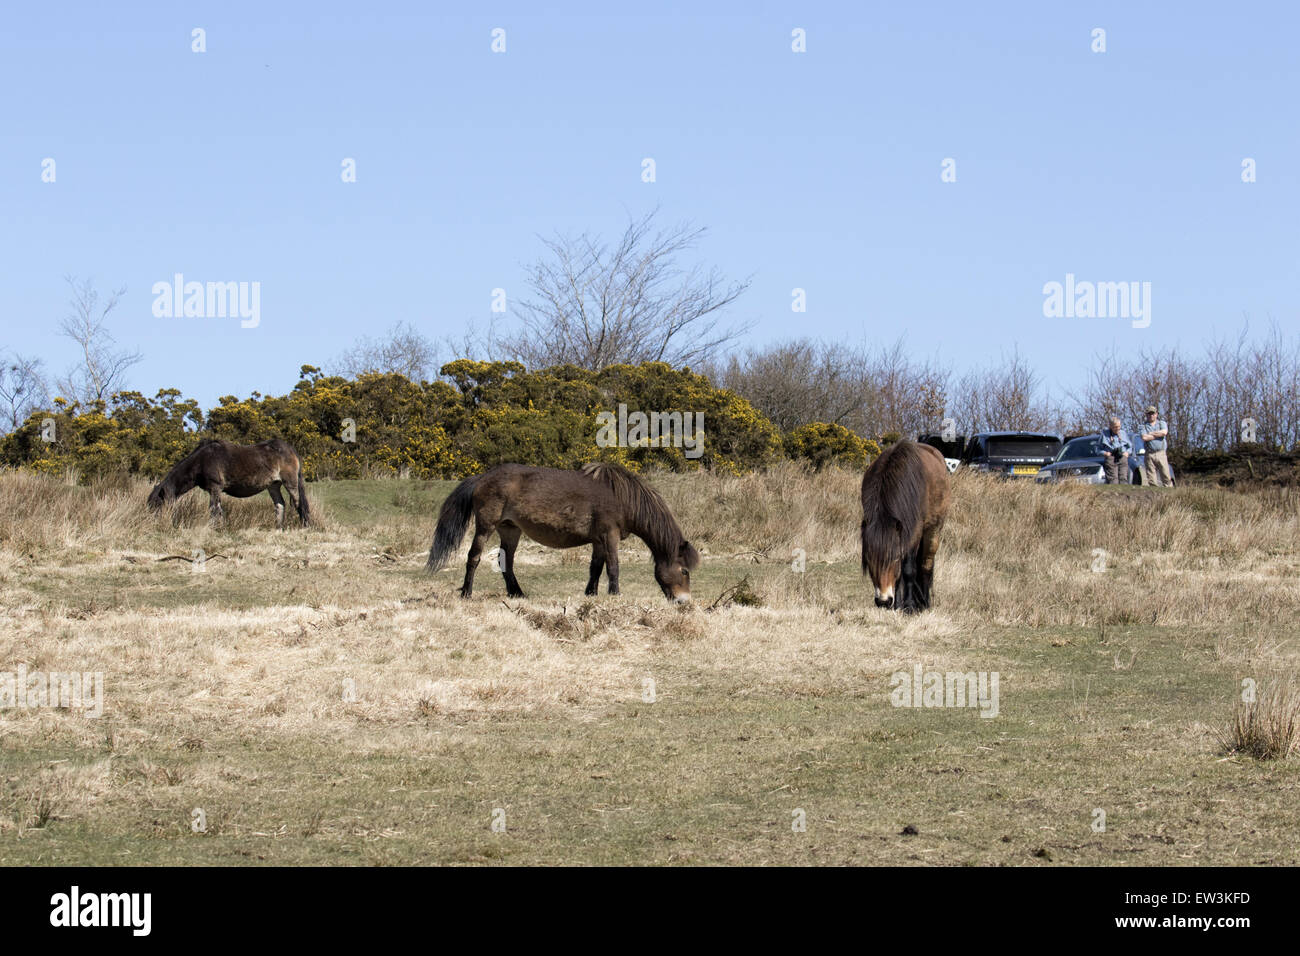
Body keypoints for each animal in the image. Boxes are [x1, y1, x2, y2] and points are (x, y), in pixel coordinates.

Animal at [146, 437, 309, 528]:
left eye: (157, 504)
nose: (152, 523)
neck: (201, 460)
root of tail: (291, 449)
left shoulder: (215, 488)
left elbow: (214, 510)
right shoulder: (214, 490)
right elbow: (219, 510)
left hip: (290, 482)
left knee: (298, 504)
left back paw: (304, 526)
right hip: (273, 485)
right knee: (280, 504)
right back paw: (278, 528)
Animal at [426, 463, 702, 606]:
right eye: (684, 571)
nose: (684, 601)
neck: (622, 497)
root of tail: (482, 477)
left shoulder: (599, 540)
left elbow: (595, 568)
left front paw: (591, 595)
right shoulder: (609, 536)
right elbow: (613, 567)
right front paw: (615, 595)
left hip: (510, 530)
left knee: (507, 563)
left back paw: (517, 593)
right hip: (486, 527)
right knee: (473, 557)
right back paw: (466, 593)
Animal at [857, 442, 951, 613]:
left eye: (894, 558)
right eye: (869, 560)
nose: (883, 601)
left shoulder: (913, 533)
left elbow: (908, 570)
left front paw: (909, 606)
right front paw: (899, 606)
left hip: (933, 531)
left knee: (926, 565)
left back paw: (924, 603)